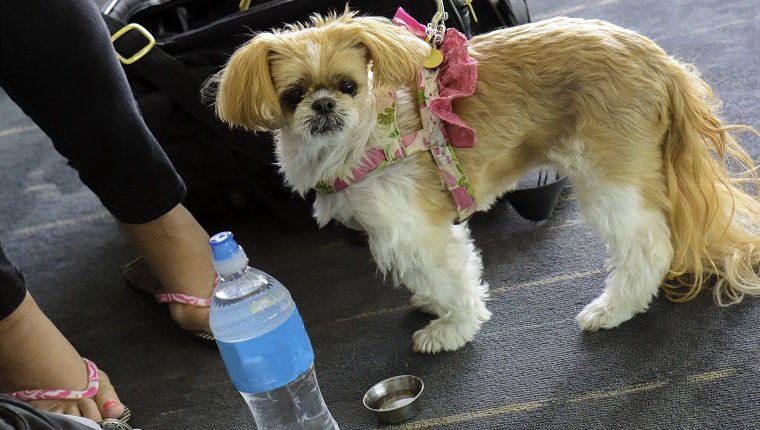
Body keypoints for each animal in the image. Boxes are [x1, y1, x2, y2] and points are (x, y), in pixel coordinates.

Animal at [211, 9, 760, 352]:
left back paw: (613, 308)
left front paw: (451, 327)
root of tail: (659, 59)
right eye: (293, 95)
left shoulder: (413, 230)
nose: (324, 104)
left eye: (348, 85)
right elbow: (430, 279)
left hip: (610, 180)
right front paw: (431, 305)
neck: (358, 140)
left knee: (648, 247)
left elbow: (449, 277)